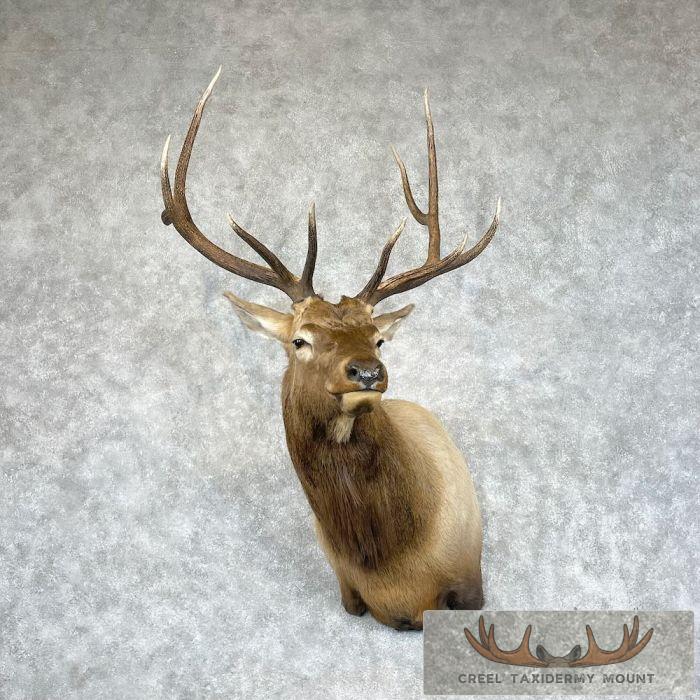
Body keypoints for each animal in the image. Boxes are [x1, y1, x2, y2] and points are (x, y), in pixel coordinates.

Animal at [159, 67, 501, 631]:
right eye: (300, 340)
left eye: (378, 336)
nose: (367, 372)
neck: (397, 568)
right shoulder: (347, 590)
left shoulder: (470, 581)